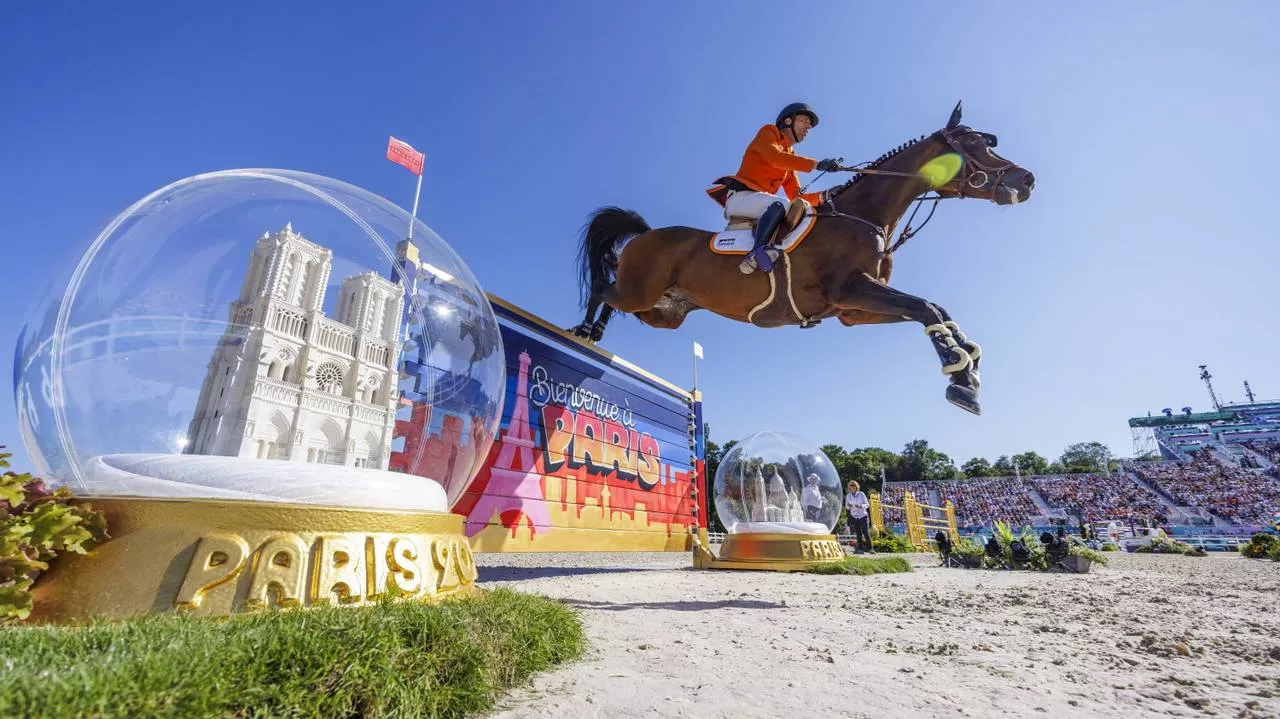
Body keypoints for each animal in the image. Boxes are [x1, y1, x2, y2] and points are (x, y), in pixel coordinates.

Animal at [570, 102, 1029, 411]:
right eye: (975, 143)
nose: (1027, 180)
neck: (866, 216)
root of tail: (648, 234)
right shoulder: (850, 289)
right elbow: (925, 308)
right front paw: (959, 374)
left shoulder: (852, 309)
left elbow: (933, 309)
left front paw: (968, 365)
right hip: (641, 291)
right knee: (603, 286)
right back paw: (583, 330)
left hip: (663, 312)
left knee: (619, 299)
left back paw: (596, 333)